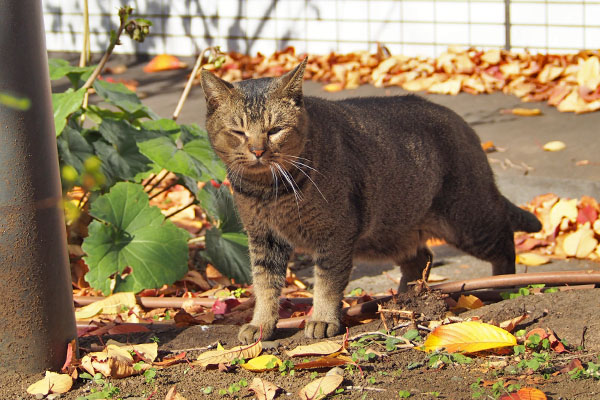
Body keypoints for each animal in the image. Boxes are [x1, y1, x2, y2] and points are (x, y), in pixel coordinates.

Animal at [200, 59, 540, 344]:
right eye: (238, 131)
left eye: (275, 130)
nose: (258, 151)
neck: (269, 192)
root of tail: (463, 124)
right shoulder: (263, 238)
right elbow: (265, 285)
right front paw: (261, 325)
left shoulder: (335, 234)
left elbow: (326, 282)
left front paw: (322, 319)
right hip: (393, 233)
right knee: (423, 257)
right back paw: (406, 298)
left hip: (468, 221)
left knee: (504, 240)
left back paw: (502, 285)